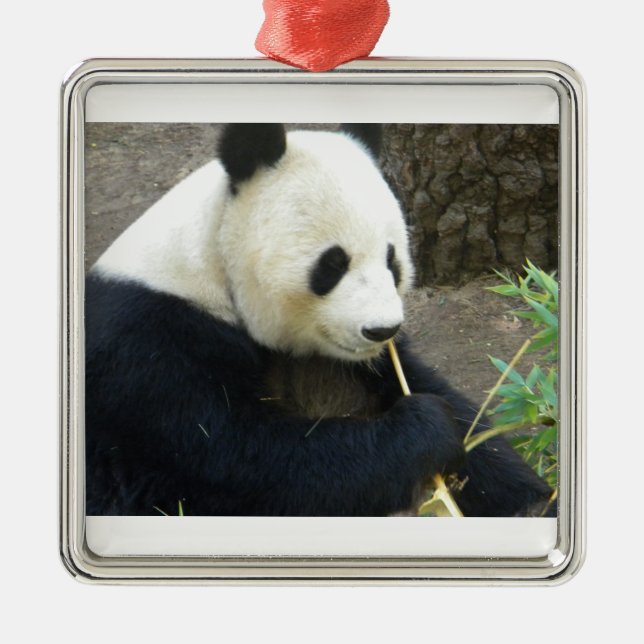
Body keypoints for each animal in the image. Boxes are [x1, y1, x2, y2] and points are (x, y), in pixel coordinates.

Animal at [85, 123, 554, 517]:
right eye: (333, 264)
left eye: (392, 259)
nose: (381, 329)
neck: (211, 266)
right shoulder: (150, 351)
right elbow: (254, 462)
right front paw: (430, 429)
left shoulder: (352, 363)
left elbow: (433, 395)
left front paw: (531, 504)